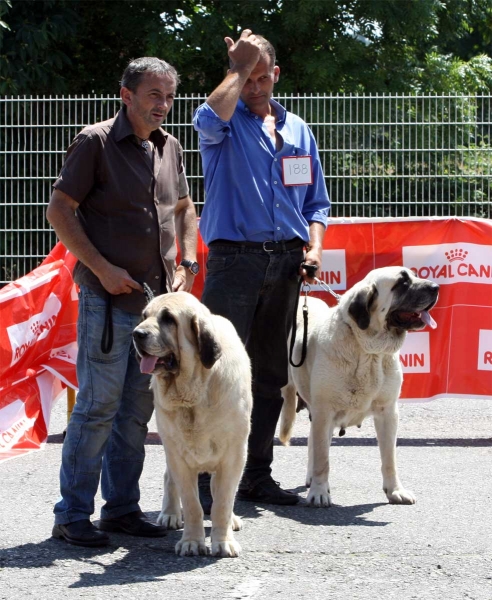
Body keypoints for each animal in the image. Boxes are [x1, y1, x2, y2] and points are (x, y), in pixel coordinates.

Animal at [133, 292, 252, 556]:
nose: (137, 333)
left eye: (168, 319)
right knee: (169, 479)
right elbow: (192, 504)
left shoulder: (234, 456)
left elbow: (223, 500)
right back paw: (169, 514)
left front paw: (223, 541)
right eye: (144, 316)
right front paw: (192, 542)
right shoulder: (178, 457)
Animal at [280, 268, 438, 506]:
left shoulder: (388, 412)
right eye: (402, 283)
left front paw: (395, 490)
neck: (369, 351)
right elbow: (323, 459)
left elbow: (389, 458)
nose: (436, 287)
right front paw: (319, 492)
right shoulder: (325, 411)